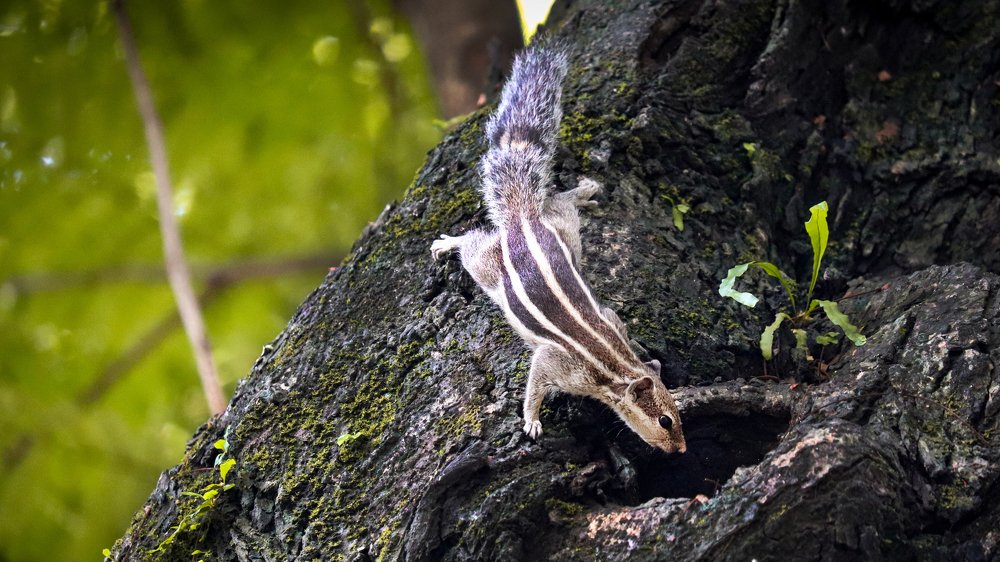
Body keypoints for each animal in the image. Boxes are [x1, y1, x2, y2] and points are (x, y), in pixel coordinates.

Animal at [431, 44, 686, 454]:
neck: (615, 366)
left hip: (567, 231)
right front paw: (532, 420)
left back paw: (584, 191)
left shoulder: (608, 320)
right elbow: (536, 382)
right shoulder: (557, 363)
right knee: (472, 245)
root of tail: (524, 217)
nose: (681, 450)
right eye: (665, 420)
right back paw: (448, 243)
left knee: (561, 201)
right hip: (487, 265)